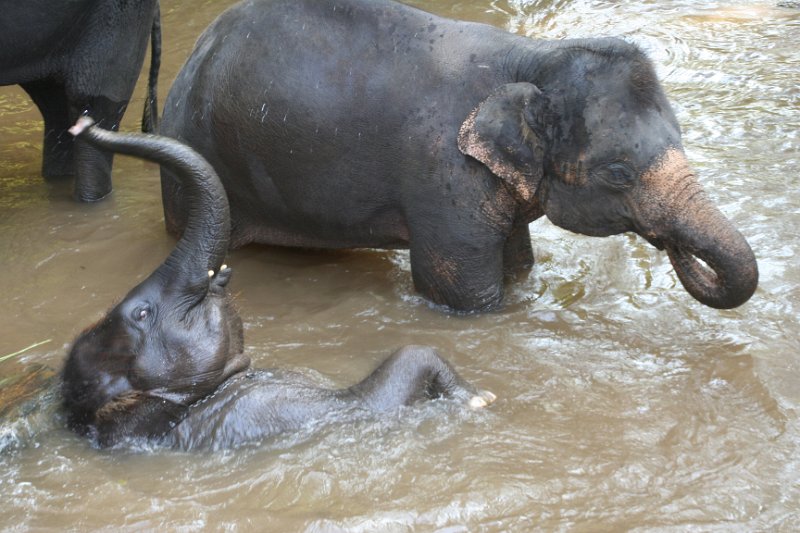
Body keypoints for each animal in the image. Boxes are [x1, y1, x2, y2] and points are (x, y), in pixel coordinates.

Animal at [159, 0, 760, 312]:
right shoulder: (443, 174)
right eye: (618, 172)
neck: (531, 61)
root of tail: (199, 49)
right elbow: (462, 292)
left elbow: (518, 262)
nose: (670, 243)